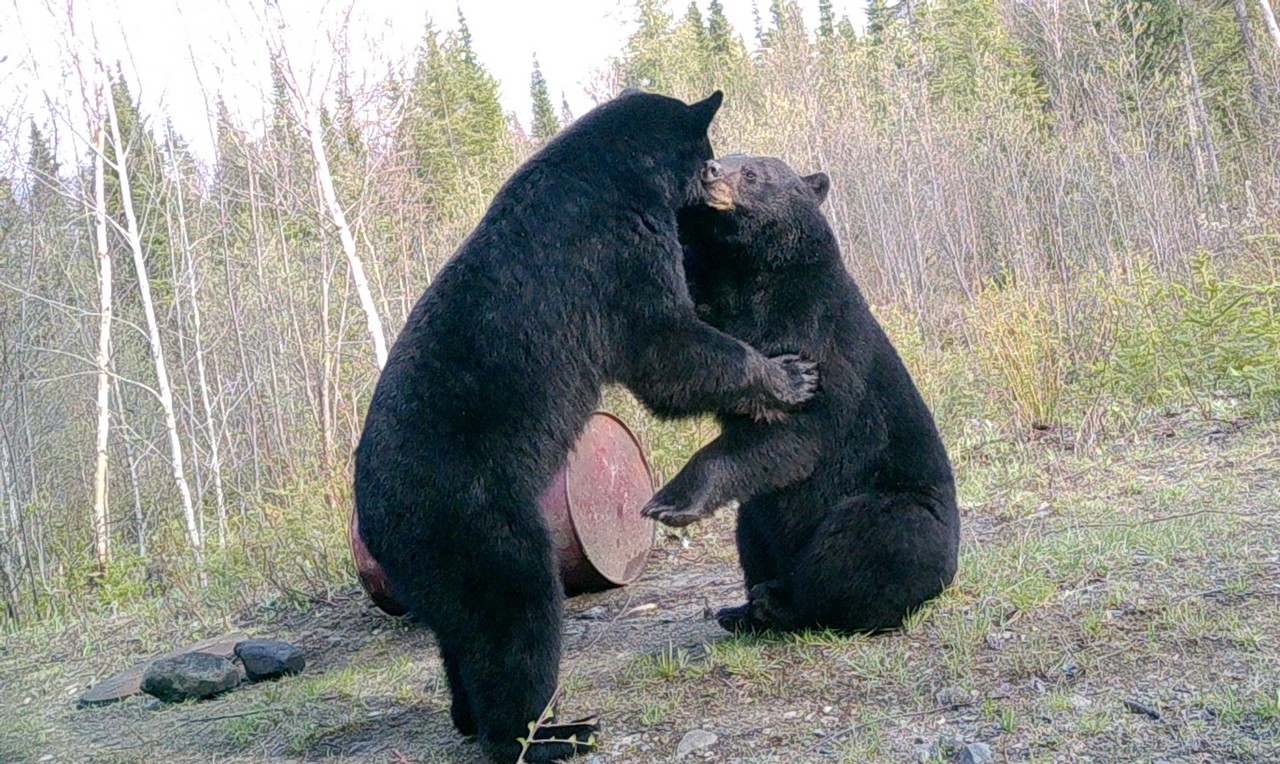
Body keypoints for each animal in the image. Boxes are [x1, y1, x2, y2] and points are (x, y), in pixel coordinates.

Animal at [353, 96, 818, 764]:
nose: (714, 180)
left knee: (459, 638)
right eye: (707, 154)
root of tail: (372, 522)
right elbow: (665, 344)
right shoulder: (611, 254)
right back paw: (547, 734)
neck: (614, 173)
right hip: (473, 521)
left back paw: (469, 717)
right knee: (512, 617)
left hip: (438, 561)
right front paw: (787, 377)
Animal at [641, 154, 960, 635]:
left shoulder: (814, 324)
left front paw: (669, 501)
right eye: (725, 156)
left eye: (751, 172)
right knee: (751, 533)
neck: (746, 268)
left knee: (868, 541)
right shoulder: (713, 292)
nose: (709, 170)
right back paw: (743, 609)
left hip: (900, 507)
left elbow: (801, 427)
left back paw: (781, 603)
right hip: (758, 512)